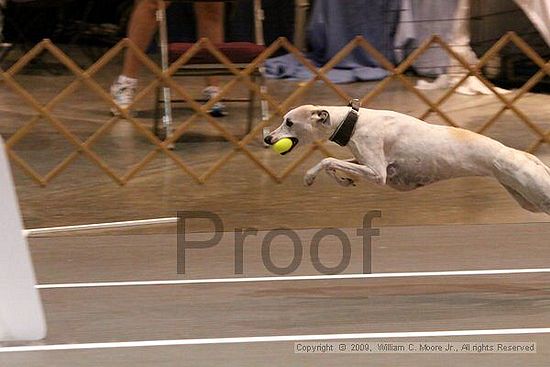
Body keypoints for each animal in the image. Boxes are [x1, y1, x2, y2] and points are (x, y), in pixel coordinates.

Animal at [266, 102, 550, 214]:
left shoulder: (378, 174)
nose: (267, 139)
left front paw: (309, 176)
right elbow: (334, 164)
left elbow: (326, 160)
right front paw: (343, 181)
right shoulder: (369, 164)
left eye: (289, 122)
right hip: (527, 201)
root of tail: (528, 157)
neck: (353, 121)